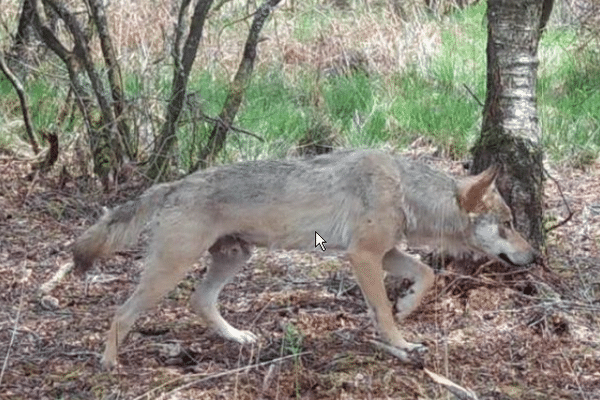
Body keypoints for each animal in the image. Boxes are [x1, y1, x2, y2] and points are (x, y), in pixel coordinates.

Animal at [72, 150, 536, 368]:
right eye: (509, 223)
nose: (533, 256)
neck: (405, 190)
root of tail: (171, 185)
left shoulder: (385, 253)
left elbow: (425, 275)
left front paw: (407, 308)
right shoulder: (364, 257)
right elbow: (382, 311)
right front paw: (400, 343)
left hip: (233, 259)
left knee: (199, 301)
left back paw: (238, 338)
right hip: (170, 270)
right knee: (122, 313)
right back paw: (109, 362)